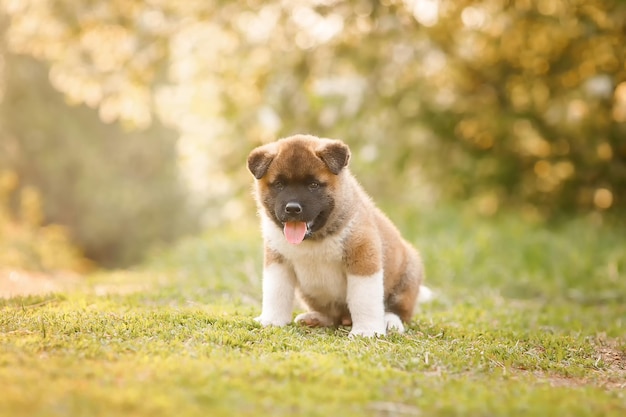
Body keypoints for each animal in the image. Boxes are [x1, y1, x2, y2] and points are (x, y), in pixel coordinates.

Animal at [247, 135, 424, 336]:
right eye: (279, 185)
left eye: (313, 185)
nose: (292, 208)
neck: (315, 238)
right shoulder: (278, 261)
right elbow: (276, 293)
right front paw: (271, 320)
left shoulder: (363, 258)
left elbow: (364, 299)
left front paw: (367, 330)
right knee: (332, 316)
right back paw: (315, 318)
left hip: (408, 275)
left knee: (398, 311)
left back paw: (390, 321)